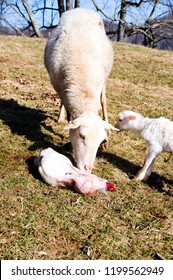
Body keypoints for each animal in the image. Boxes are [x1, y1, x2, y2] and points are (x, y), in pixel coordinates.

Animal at [44, 7, 117, 172]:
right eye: (82, 136)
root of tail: (81, 9)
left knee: (104, 101)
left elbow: (100, 107)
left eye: (100, 140)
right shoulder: (59, 86)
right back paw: (60, 117)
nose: (87, 168)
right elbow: (69, 115)